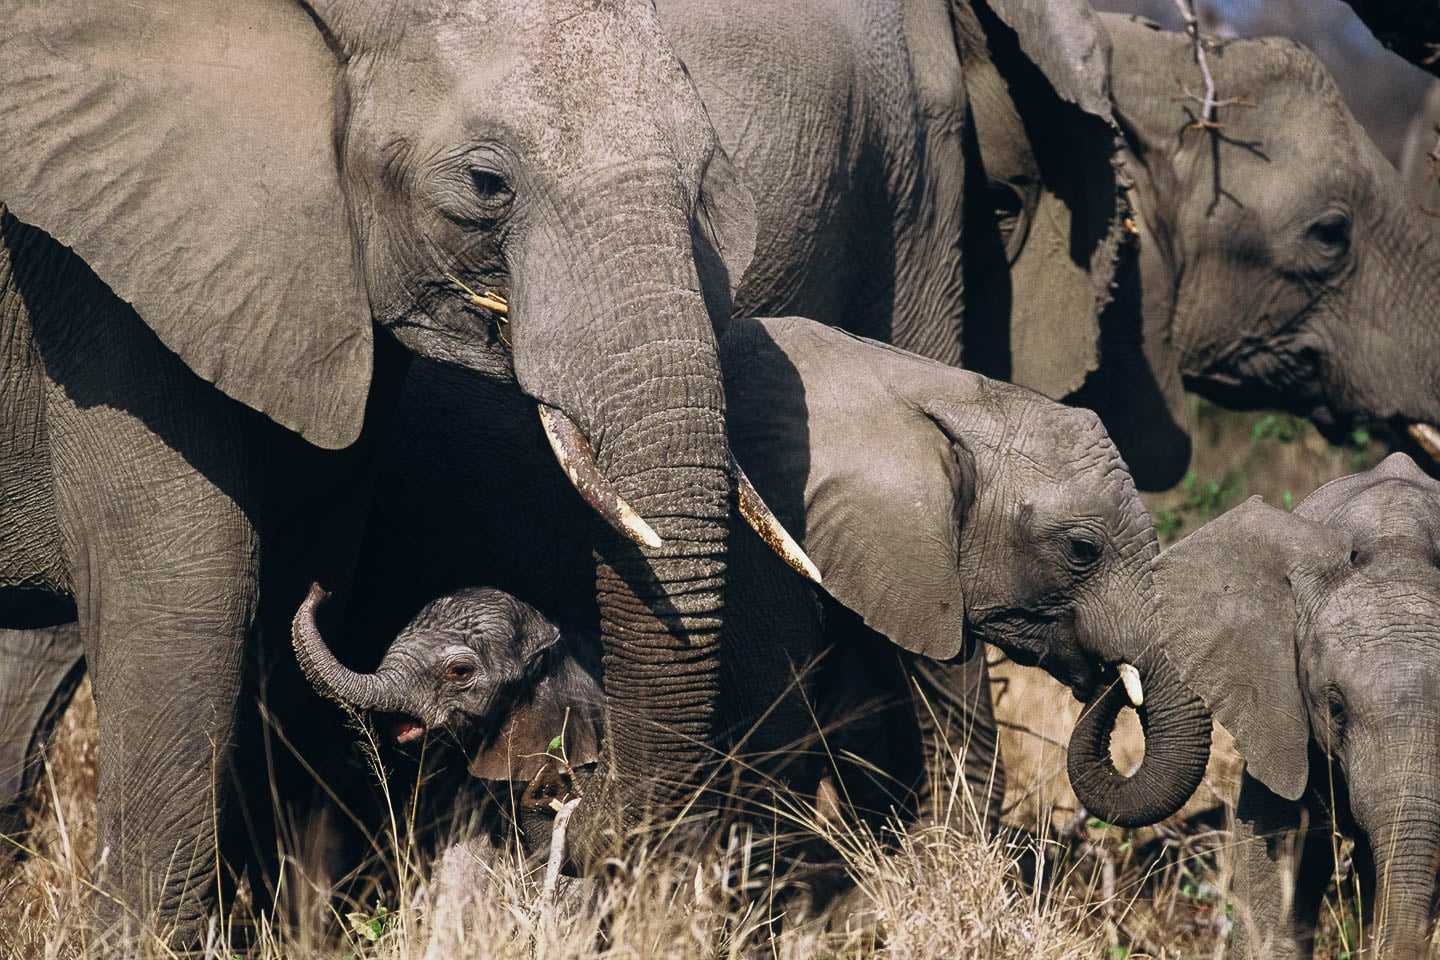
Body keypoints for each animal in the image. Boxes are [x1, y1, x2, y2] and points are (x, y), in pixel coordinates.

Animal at [0, 0, 790, 938]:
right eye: (486, 184)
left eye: (704, 183)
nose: (576, 807)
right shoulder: (105, 272)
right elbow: (181, 590)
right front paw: (150, 942)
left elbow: (290, 572)